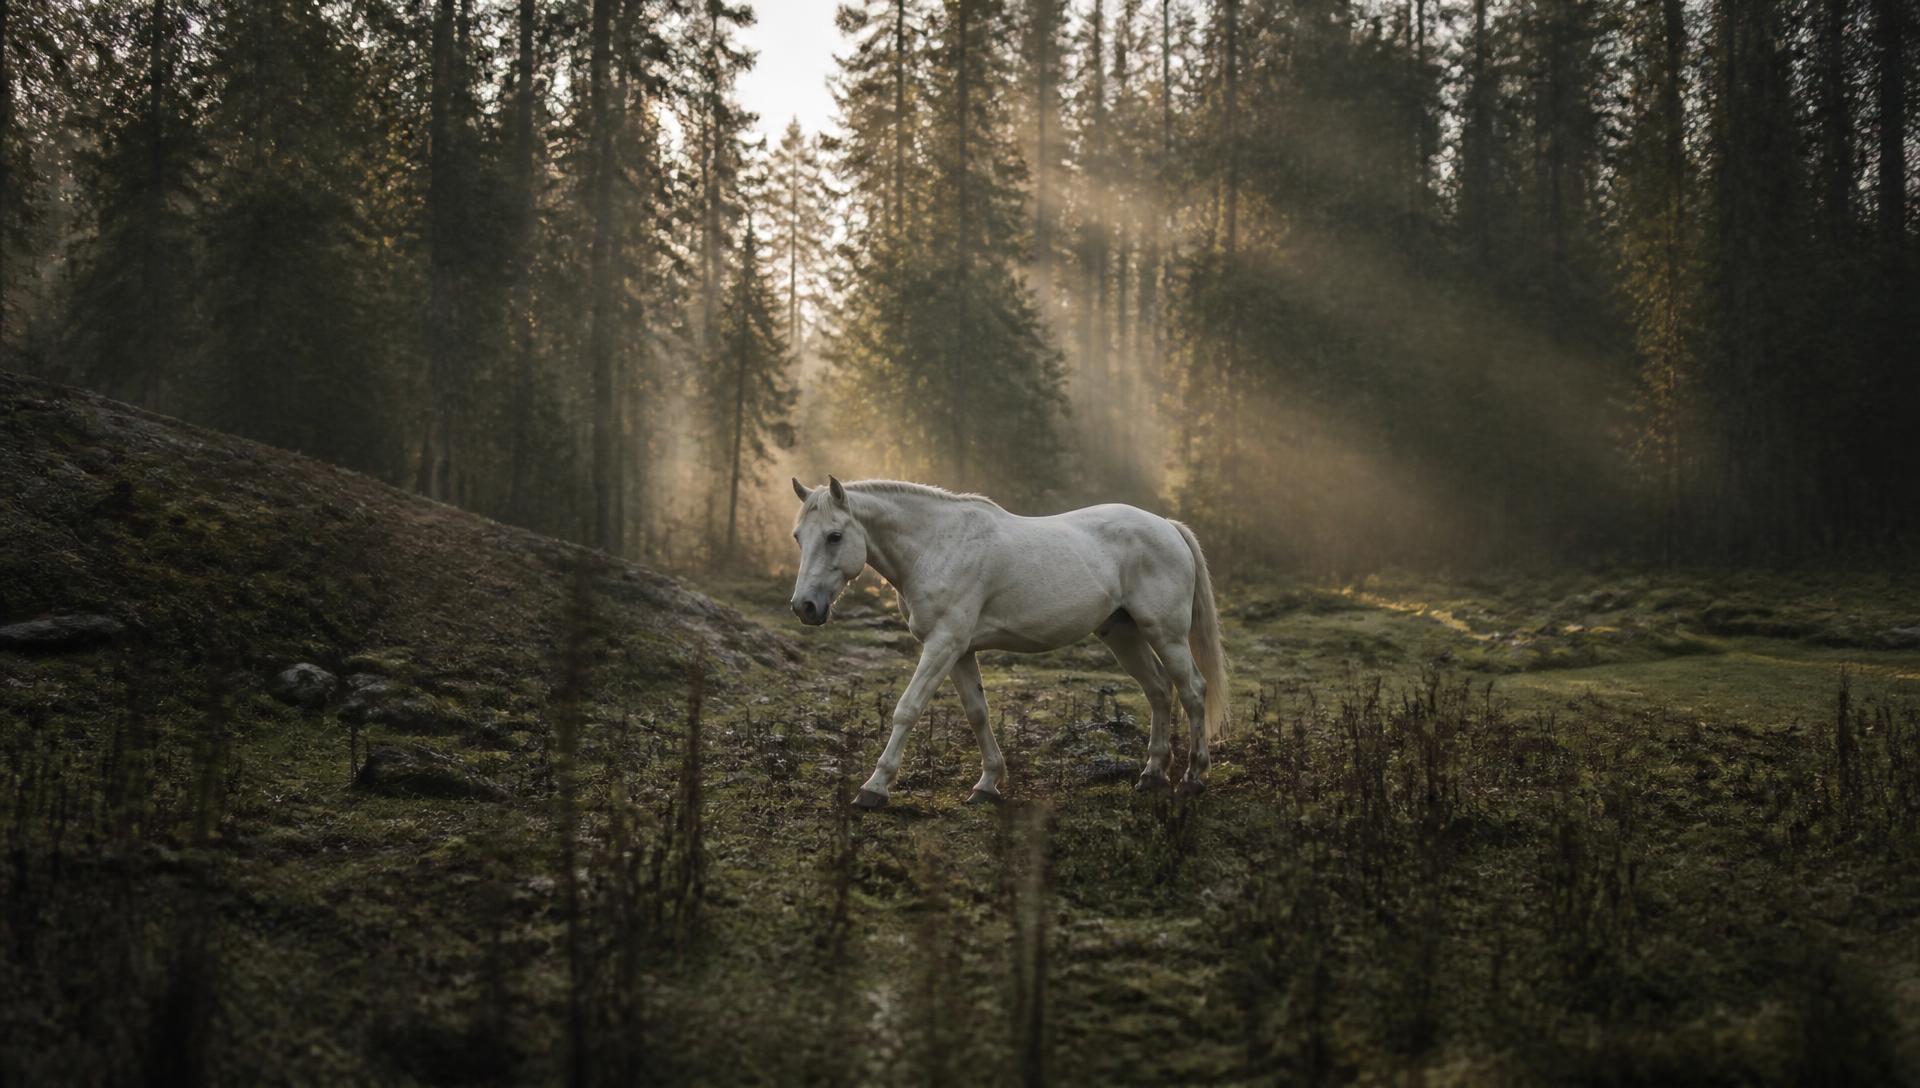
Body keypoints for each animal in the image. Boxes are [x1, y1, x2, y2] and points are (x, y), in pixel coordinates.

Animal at [788, 476, 1230, 808]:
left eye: (834, 536)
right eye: (798, 537)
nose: (804, 607)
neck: (936, 546)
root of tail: (1168, 526)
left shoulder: (943, 645)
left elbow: (907, 709)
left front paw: (874, 788)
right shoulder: (960, 651)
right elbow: (977, 713)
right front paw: (987, 784)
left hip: (1166, 633)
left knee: (1192, 691)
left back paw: (1193, 777)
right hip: (1124, 634)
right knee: (1158, 691)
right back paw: (1152, 775)